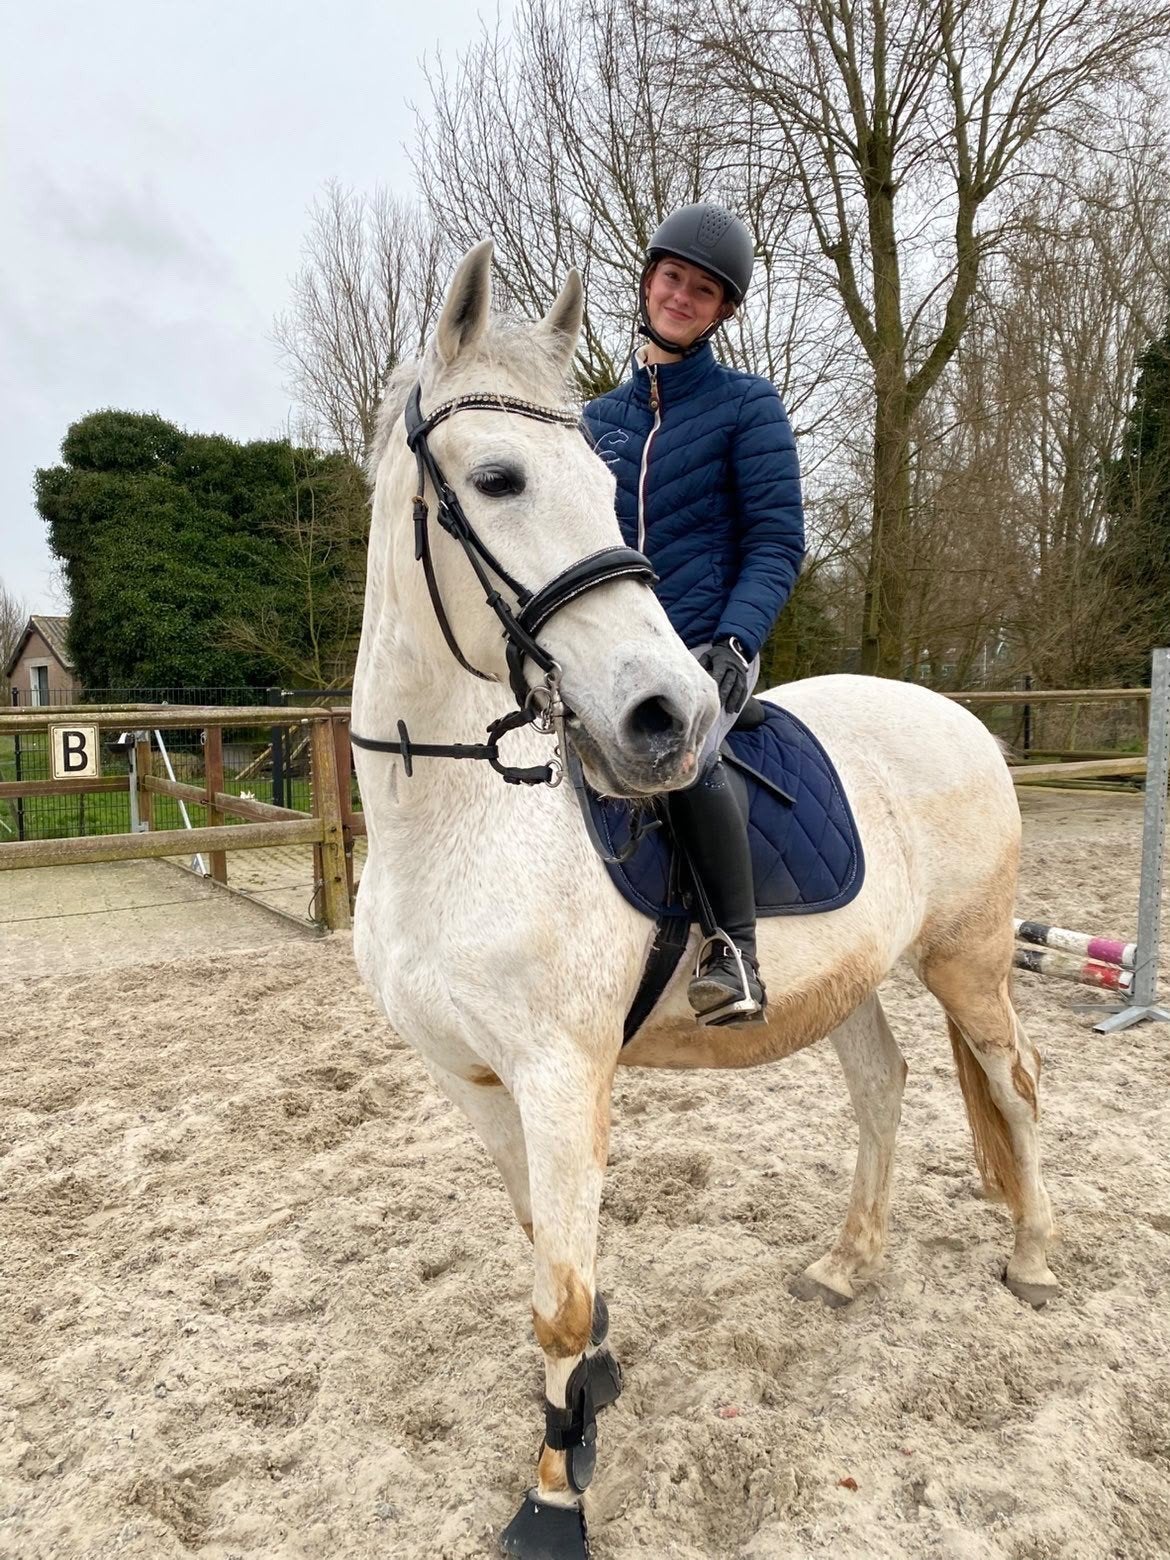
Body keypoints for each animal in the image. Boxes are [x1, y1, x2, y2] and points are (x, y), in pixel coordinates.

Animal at [351, 240, 1057, 1559]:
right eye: (500, 477)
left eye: (600, 479)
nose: (667, 717)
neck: (458, 823)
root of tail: (964, 719)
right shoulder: (474, 1081)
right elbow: (545, 1257)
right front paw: (596, 1392)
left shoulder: (561, 1078)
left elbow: (557, 1301)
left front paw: (554, 1497)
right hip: (853, 982)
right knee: (884, 1090)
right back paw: (849, 1264)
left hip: (972, 960)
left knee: (1016, 1087)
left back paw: (1035, 1258)